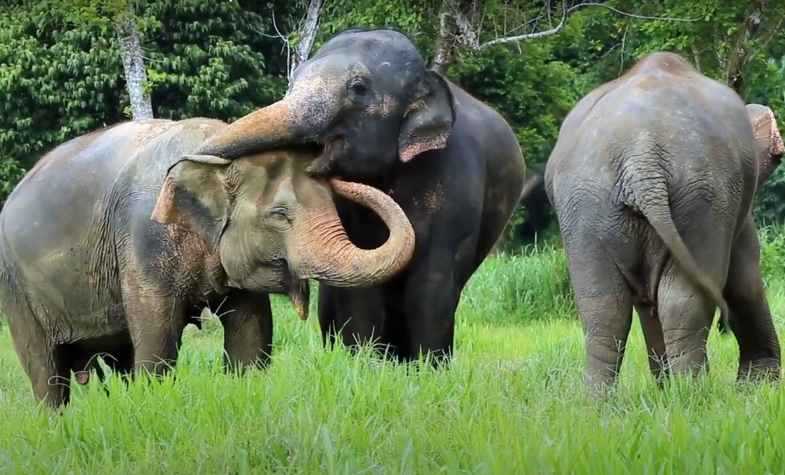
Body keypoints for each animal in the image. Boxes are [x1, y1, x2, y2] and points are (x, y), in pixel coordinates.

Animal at [0, 119, 416, 410]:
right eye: (279, 215)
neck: (212, 156)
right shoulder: (143, 239)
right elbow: (157, 337)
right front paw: (155, 408)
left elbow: (251, 332)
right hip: (15, 286)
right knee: (45, 370)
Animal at [188, 29, 528, 362]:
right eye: (293, 80)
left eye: (359, 87)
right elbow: (361, 287)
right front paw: (365, 362)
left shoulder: (456, 182)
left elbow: (432, 284)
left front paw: (430, 367)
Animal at [544, 52, 784, 388]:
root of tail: (641, 156)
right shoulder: (736, 208)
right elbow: (745, 278)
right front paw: (758, 386)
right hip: (702, 198)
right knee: (683, 299)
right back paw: (694, 392)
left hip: (586, 207)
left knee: (603, 307)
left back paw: (603, 399)